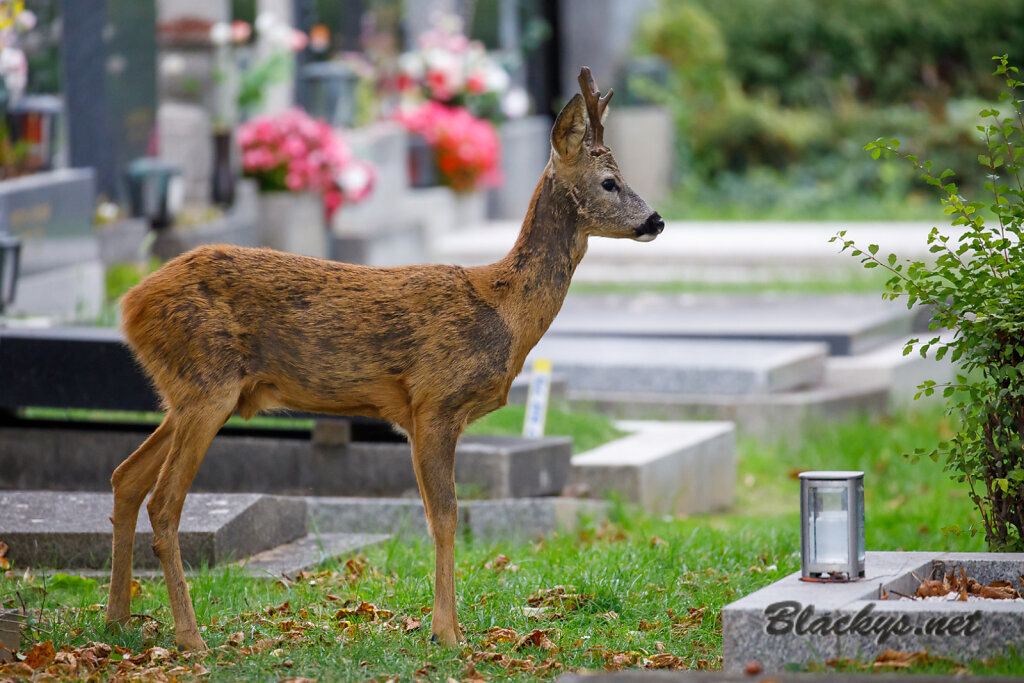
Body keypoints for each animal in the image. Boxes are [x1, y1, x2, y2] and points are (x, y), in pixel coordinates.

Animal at [105, 66, 663, 651]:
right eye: (609, 182)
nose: (657, 220)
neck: (504, 312)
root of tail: (130, 304)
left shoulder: (421, 414)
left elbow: (438, 516)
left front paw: (448, 627)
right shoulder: (435, 403)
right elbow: (446, 517)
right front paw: (447, 633)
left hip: (192, 393)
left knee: (126, 477)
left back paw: (118, 619)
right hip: (206, 383)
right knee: (164, 501)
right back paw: (190, 637)